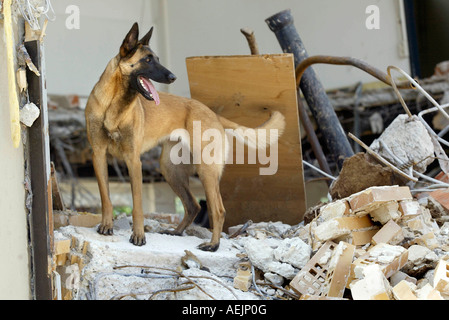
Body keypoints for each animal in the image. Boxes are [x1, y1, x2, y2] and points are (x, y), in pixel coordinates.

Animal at [86, 23, 286, 252]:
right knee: (194, 205)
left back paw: (213, 244)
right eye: (148, 60)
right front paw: (106, 225)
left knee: (218, 210)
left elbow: (137, 206)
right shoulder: (99, 156)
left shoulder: (133, 161)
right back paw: (177, 232)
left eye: (157, 58)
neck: (114, 106)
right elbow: (106, 197)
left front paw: (138, 235)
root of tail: (213, 114)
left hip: (206, 170)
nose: (173, 77)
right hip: (170, 169)